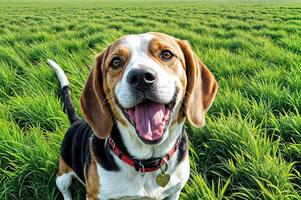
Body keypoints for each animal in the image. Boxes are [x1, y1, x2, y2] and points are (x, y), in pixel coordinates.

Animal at [47, 32, 216, 199]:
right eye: (116, 62)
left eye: (166, 54)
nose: (141, 77)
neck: (147, 162)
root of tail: (76, 121)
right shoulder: (95, 196)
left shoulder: (175, 191)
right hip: (62, 177)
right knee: (65, 191)